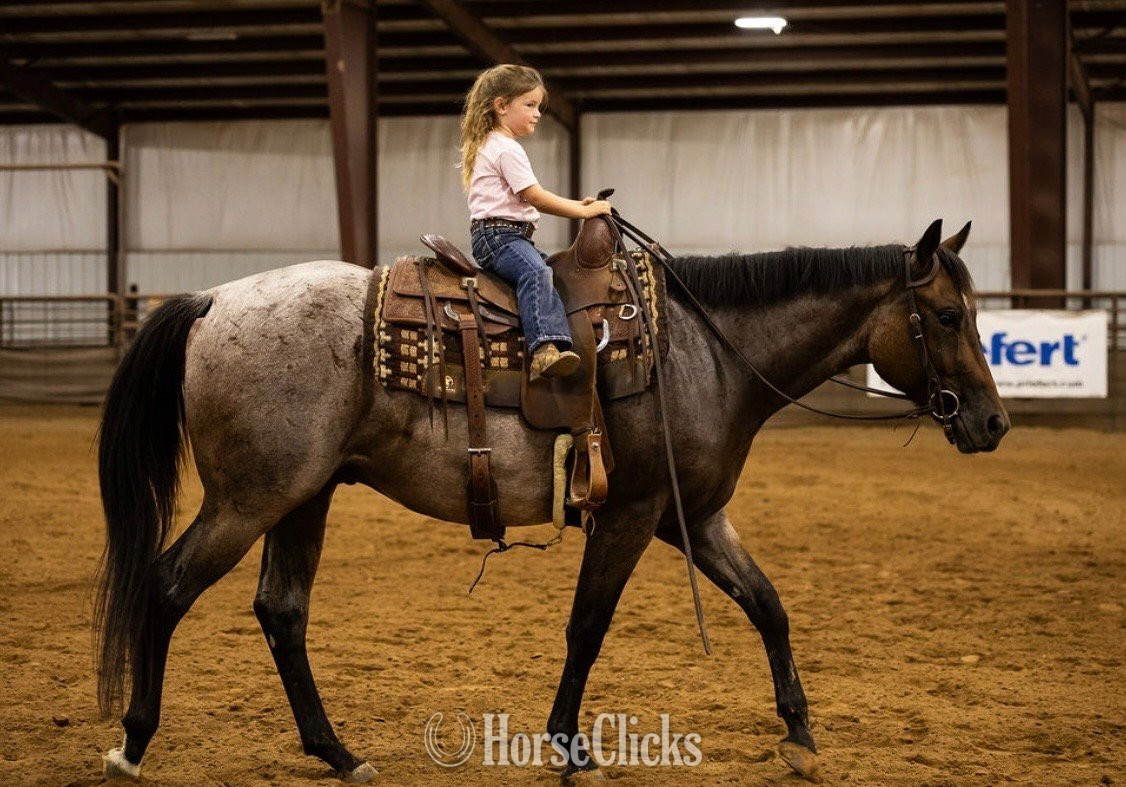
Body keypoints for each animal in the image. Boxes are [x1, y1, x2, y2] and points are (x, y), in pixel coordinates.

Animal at [94, 218, 1008, 783]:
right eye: (946, 313)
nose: (994, 421)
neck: (705, 352)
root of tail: (213, 301)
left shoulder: (693, 515)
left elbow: (769, 604)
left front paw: (801, 735)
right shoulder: (633, 514)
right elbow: (588, 624)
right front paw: (568, 747)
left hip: (303, 497)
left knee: (281, 609)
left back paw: (338, 752)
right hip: (250, 498)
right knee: (168, 585)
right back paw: (134, 741)